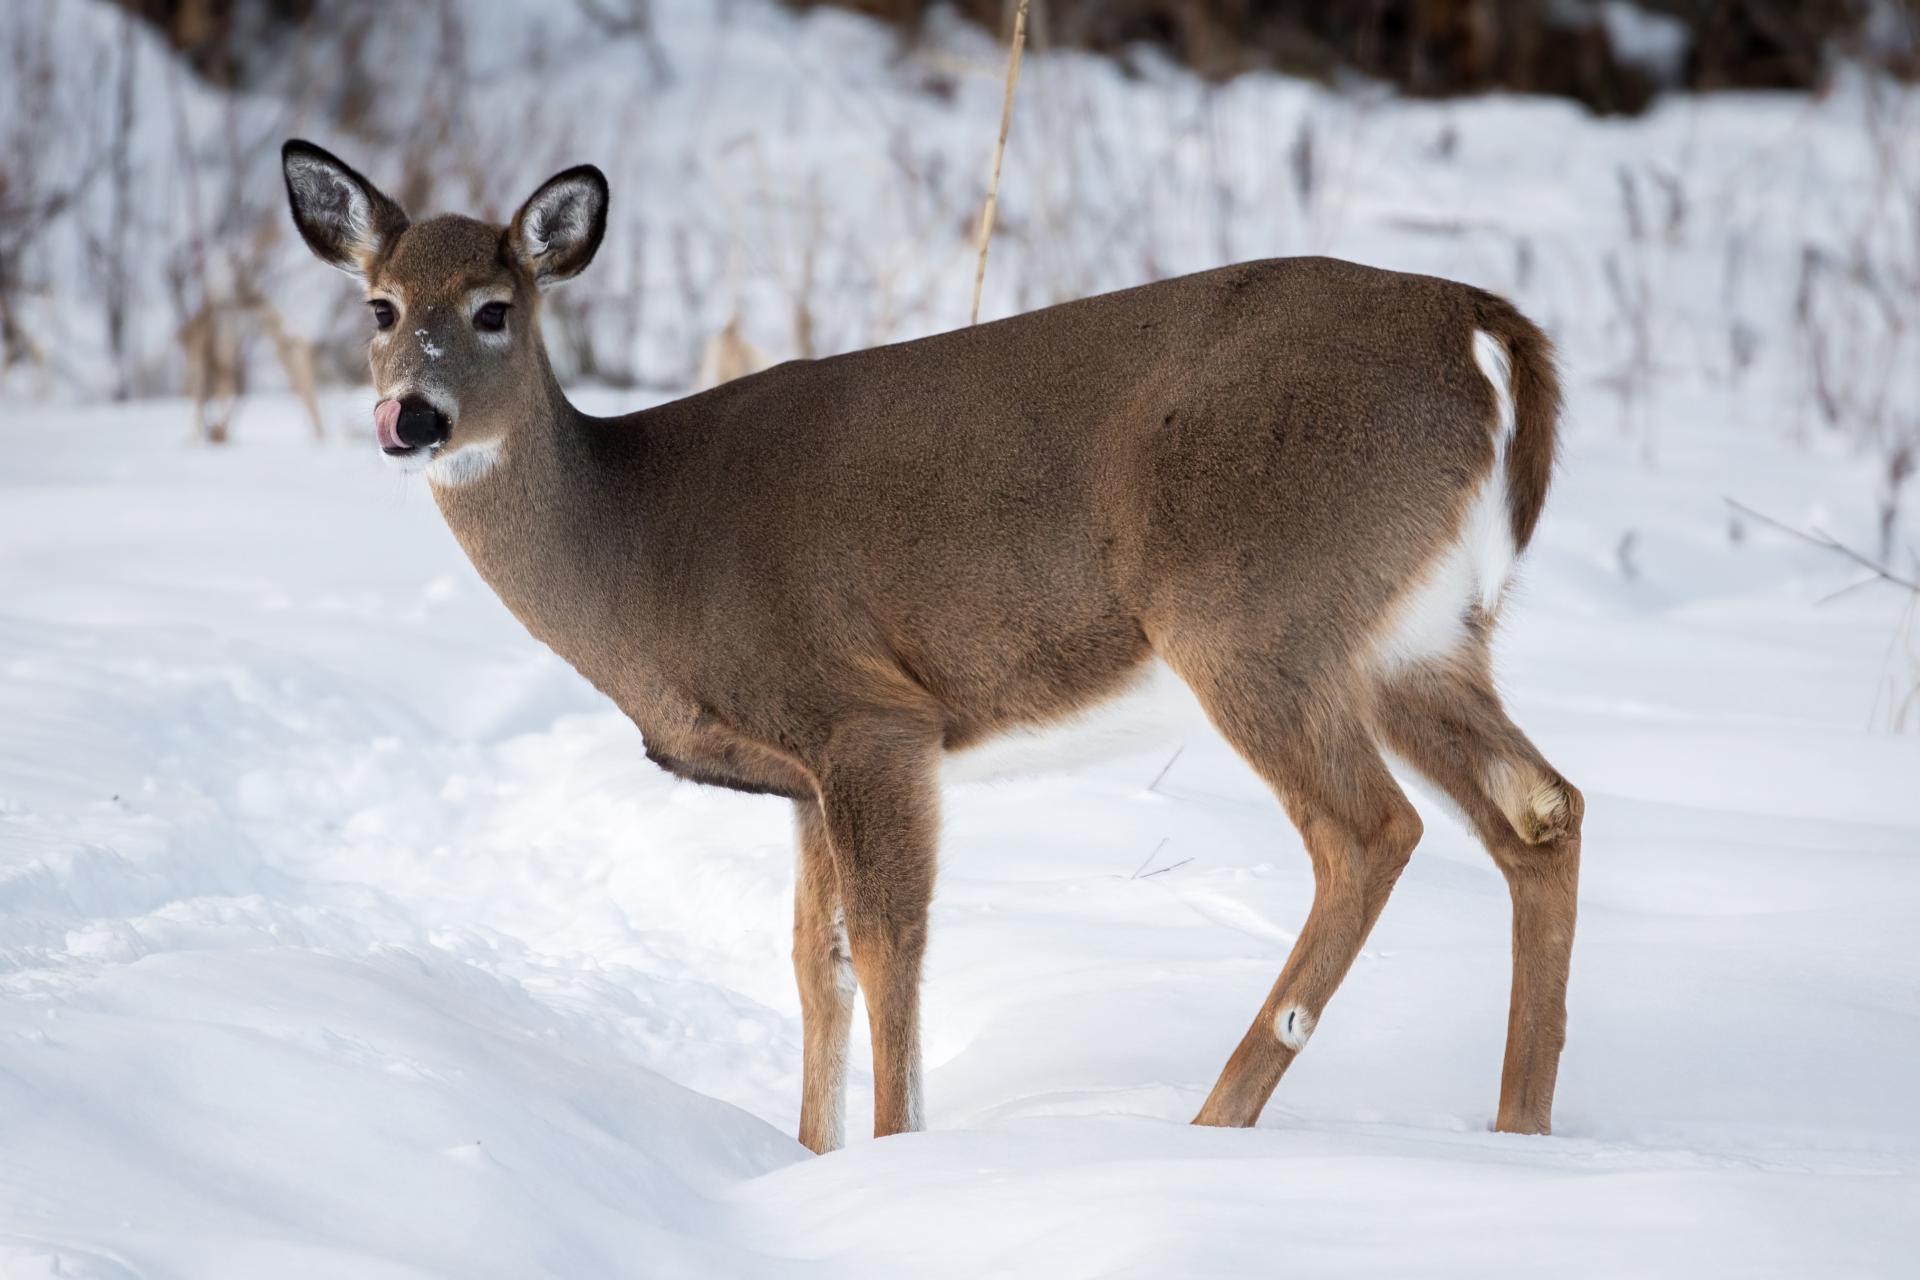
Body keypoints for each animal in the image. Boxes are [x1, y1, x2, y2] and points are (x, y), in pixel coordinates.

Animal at [281, 139, 1583, 1153]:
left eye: (494, 309)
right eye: (379, 308)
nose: (411, 418)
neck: (640, 542)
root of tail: (1479, 325)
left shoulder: (868, 715)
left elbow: (888, 945)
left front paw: (896, 1156)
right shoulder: (799, 773)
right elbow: (814, 960)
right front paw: (815, 1157)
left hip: (1252, 608)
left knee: (1370, 830)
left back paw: (1213, 1125)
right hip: (1417, 635)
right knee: (1540, 810)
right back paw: (1520, 1133)